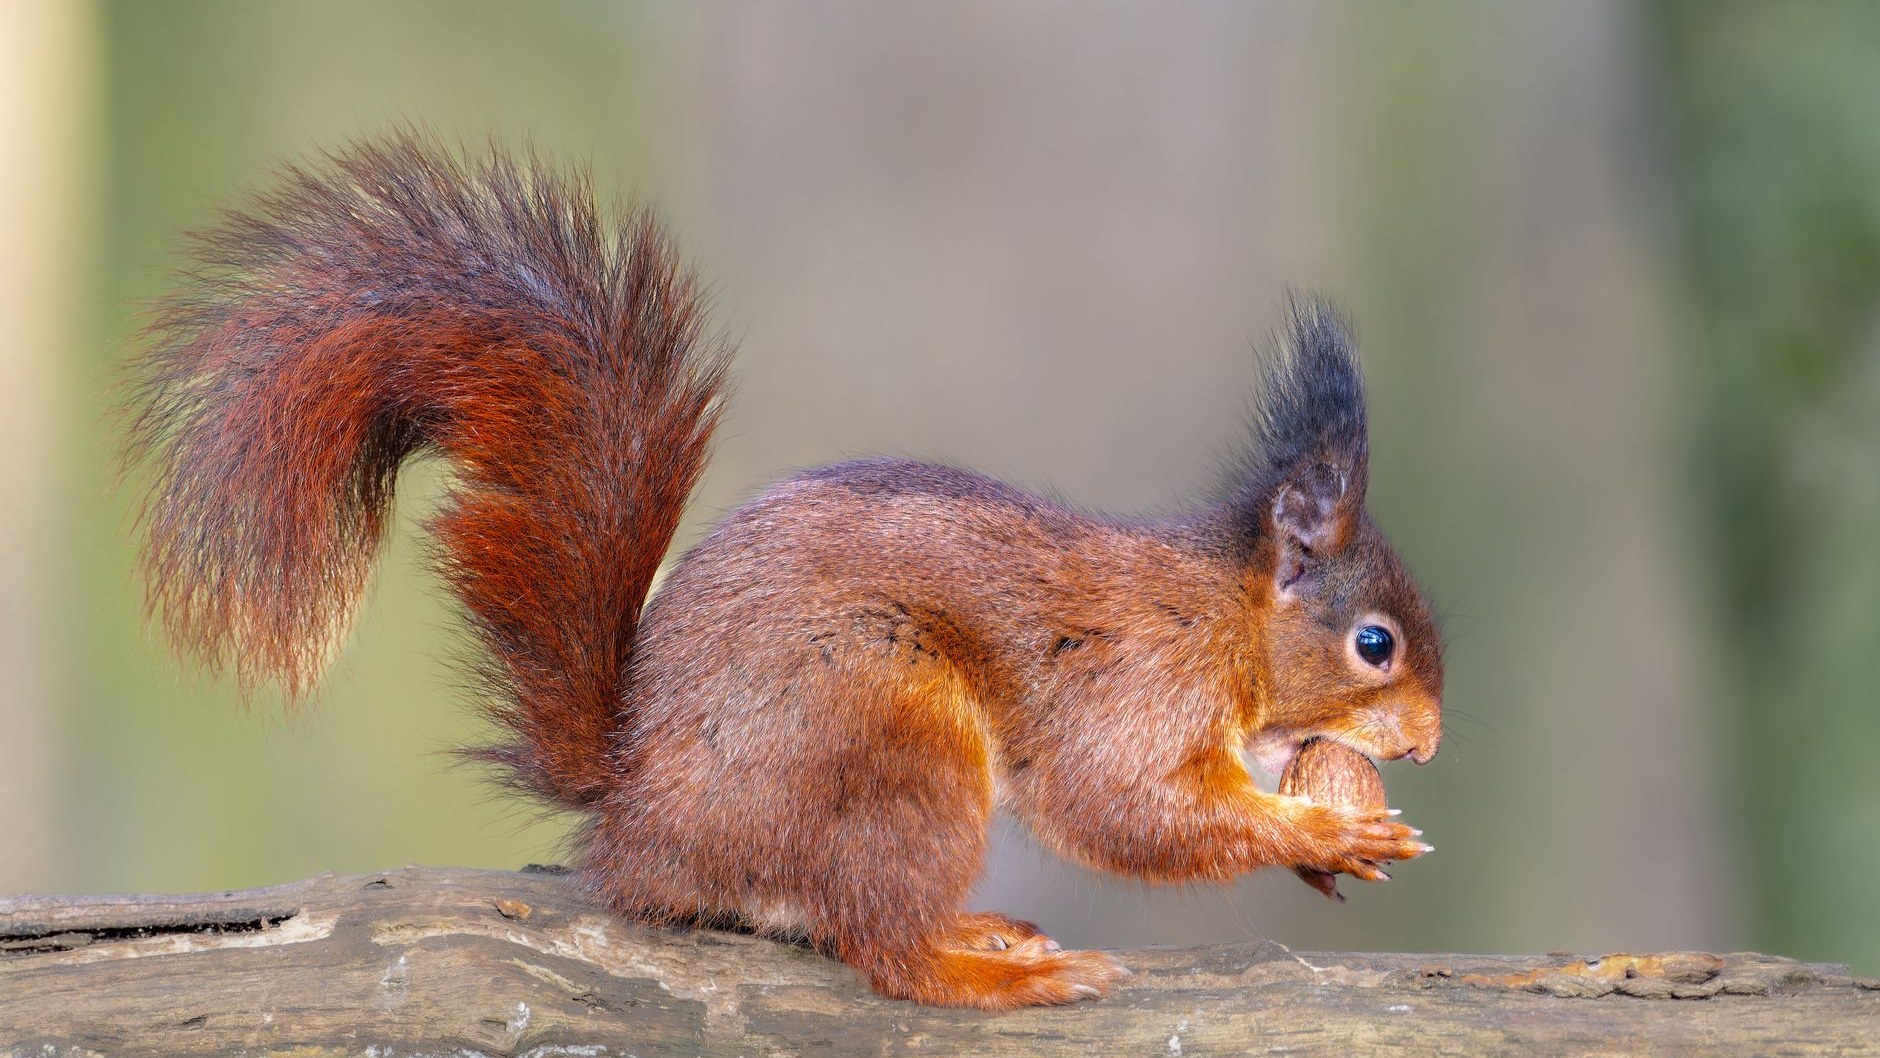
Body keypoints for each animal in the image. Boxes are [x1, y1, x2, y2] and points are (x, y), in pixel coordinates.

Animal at [122, 134, 1443, 1010]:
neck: (1222, 616)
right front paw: (1323, 831)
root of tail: (641, 819)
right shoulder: (1136, 684)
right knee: (881, 945)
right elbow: (1123, 805)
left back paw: (985, 929)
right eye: (1372, 642)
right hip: (889, 731)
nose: (1427, 744)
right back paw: (988, 970)